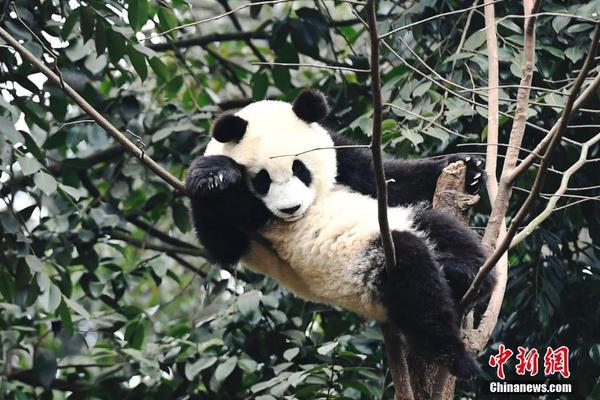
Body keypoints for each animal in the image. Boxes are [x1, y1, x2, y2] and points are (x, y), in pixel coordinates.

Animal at [185, 88, 494, 378]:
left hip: (401, 221)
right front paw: (212, 175)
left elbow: (390, 179)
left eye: (300, 168)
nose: (290, 208)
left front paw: (470, 166)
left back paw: (466, 273)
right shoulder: (246, 229)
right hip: (365, 272)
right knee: (414, 282)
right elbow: (222, 245)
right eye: (262, 180)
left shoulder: (340, 155)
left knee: (442, 228)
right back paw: (456, 357)